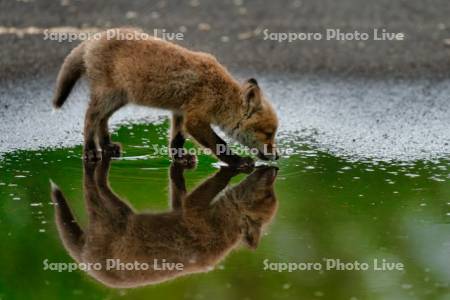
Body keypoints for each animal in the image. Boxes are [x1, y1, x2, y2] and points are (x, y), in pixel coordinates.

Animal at [51, 156, 280, 288]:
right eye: (268, 195)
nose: (274, 170)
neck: (224, 228)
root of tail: (86, 264)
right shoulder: (192, 208)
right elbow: (217, 181)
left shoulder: (185, 206)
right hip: (111, 213)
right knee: (93, 182)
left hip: (114, 212)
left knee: (97, 184)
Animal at [52, 27, 278, 169]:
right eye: (268, 134)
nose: (277, 156)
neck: (219, 93)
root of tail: (94, 38)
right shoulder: (195, 119)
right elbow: (219, 143)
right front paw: (239, 162)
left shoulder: (180, 111)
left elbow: (176, 139)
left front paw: (179, 158)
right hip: (109, 96)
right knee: (90, 118)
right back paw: (91, 151)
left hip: (120, 98)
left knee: (102, 119)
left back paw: (107, 146)